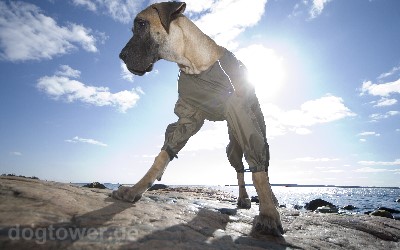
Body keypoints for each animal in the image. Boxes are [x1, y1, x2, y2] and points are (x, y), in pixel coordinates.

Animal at [111, 1, 282, 236]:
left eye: (142, 24)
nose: (121, 56)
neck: (194, 64)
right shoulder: (188, 116)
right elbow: (164, 154)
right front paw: (135, 190)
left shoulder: (239, 110)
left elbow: (259, 173)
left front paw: (268, 214)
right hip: (232, 147)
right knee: (239, 169)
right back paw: (243, 198)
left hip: (256, 128)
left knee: (263, 165)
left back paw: (271, 200)